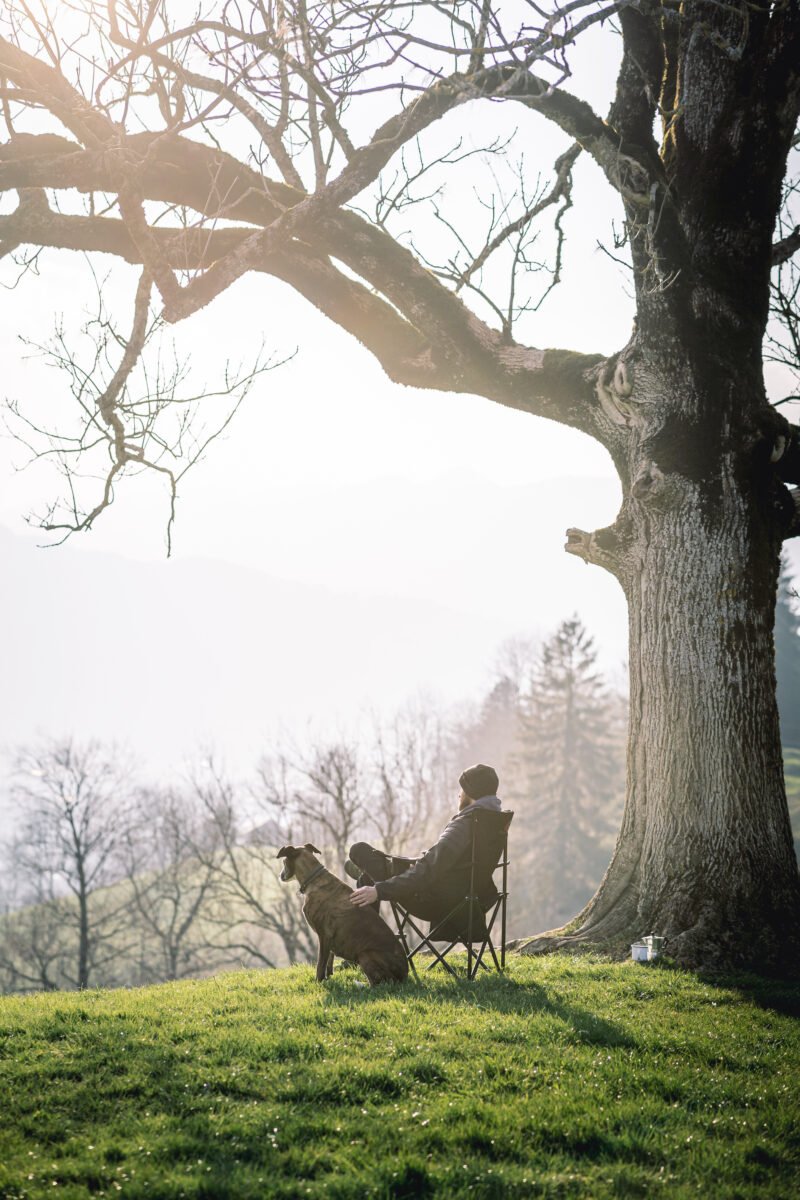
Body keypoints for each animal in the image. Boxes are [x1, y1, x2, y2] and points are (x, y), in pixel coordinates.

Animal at [278, 844, 410, 984]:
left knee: (378, 983)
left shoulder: (323, 936)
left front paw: (319, 982)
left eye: (284, 862)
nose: (280, 875)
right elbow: (329, 960)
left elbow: (320, 964)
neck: (314, 880)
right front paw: (328, 977)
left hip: (365, 955)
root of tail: (405, 974)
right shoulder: (329, 939)